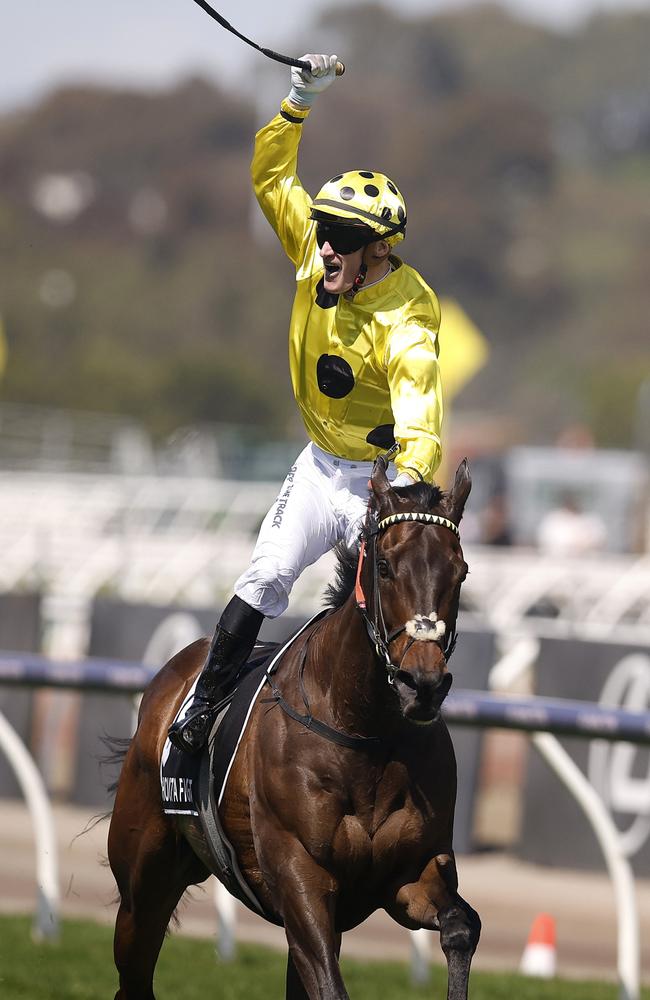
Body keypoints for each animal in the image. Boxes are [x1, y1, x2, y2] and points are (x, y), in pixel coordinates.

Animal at [109, 458, 478, 996]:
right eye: (385, 567)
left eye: (460, 571)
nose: (422, 684)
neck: (363, 729)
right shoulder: (300, 876)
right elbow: (330, 984)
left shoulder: (411, 874)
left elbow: (461, 927)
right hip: (144, 881)